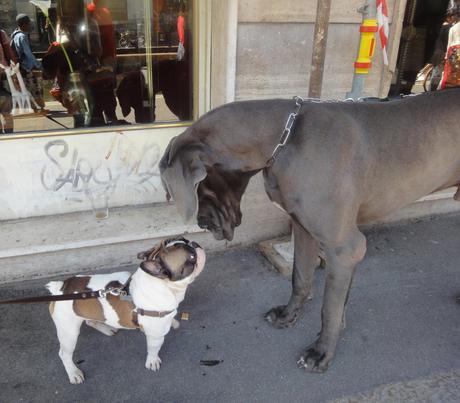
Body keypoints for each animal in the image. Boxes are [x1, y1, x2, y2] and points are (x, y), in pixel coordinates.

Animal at [159, 90, 460, 374]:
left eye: (199, 187)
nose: (201, 223)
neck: (284, 141)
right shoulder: (303, 229)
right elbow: (300, 278)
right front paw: (288, 315)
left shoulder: (344, 248)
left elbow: (330, 307)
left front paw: (322, 352)